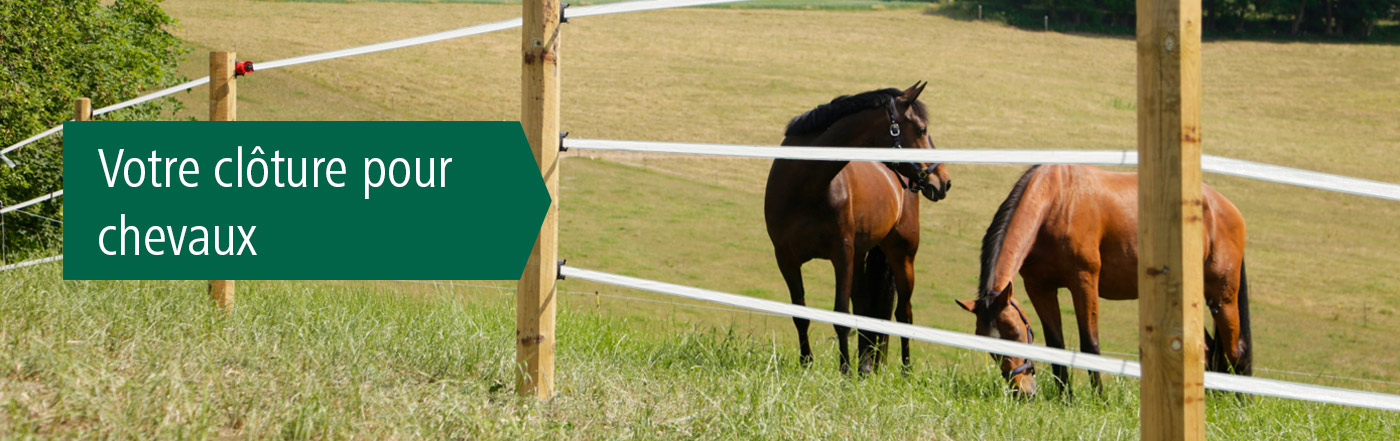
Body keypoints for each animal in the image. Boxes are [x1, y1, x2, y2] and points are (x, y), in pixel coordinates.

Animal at [767, 82, 952, 372]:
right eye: (922, 129)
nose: (943, 181)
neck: (804, 187)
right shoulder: (786, 258)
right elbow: (801, 315)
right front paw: (806, 364)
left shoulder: (841, 255)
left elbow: (841, 315)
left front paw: (844, 373)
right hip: (861, 255)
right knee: (866, 308)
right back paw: (865, 368)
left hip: (902, 255)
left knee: (904, 314)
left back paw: (905, 372)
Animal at [957, 165, 1254, 397]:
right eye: (987, 343)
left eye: (1015, 334)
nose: (1022, 391)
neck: (1055, 202)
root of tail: (1226, 209)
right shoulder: (1040, 288)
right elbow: (1056, 345)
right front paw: (1066, 399)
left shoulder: (1084, 281)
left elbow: (1090, 345)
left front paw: (1099, 399)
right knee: (1207, 349)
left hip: (1221, 297)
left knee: (1235, 351)